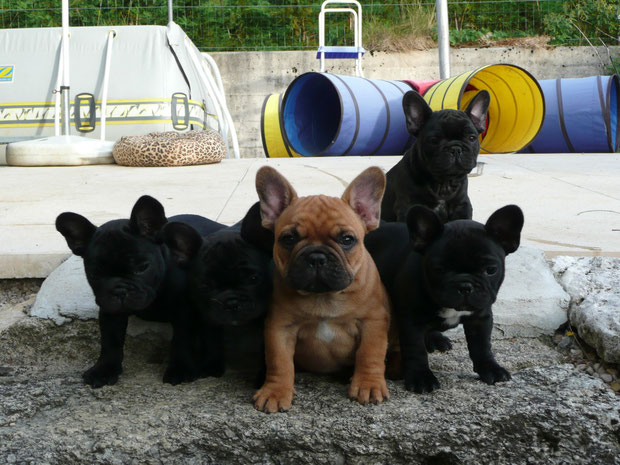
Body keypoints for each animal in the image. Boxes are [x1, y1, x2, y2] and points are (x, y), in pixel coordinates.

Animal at [55, 196, 225, 388]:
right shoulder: (110, 311)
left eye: (142, 268)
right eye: (95, 274)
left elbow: (182, 339)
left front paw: (180, 368)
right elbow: (110, 341)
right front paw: (104, 369)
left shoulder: (184, 310)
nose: (120, 290)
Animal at [162, 202, 272, 384]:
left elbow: (271, 347)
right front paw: (209, 365)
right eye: (205, 286)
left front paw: (267, 378)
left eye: (253, 278)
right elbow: (205, 338)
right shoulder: (202, 313)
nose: (232, 302)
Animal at [366, 203, 524, 392]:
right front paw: (421, 378)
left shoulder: (480, 318)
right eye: (439, 269)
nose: (465, 286)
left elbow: (482, 346)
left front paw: (491, 368)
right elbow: (416, 350)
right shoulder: (411, 321)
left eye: (491, 270)